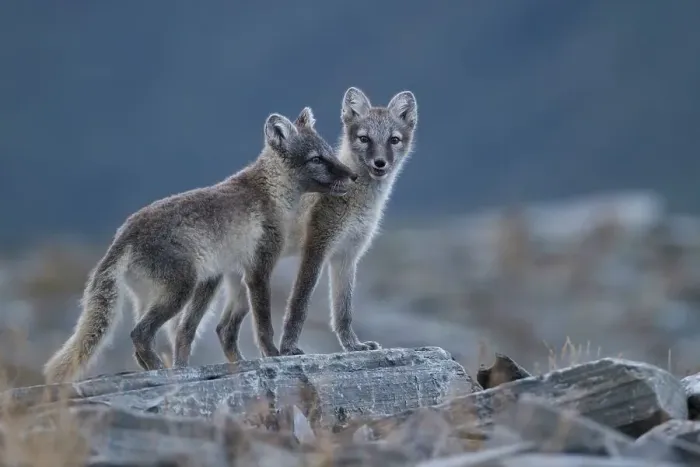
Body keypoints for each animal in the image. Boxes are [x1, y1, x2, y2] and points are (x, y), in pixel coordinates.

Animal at [43, 107, 357, 384]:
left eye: (330, 152)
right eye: (316, 159)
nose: (354, 176)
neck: (272, 192)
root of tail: (124, 234)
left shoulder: (234, 272)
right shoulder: (259, 269)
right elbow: (264, 325)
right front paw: (274, 355)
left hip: (161, 295)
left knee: (145, 341)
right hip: (181, 288)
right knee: (139, 334)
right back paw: (163, 372)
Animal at [162, 87, 418, 362]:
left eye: (394, 140)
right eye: (364, 139)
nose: (380, 163)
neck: (357, 202)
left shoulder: (347, 257)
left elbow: (343, 312)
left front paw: (353, 346)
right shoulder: (316, 249)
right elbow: (299, 305)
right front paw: (288, 349)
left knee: (223, 329)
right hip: (215, 282)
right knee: (185, 329)